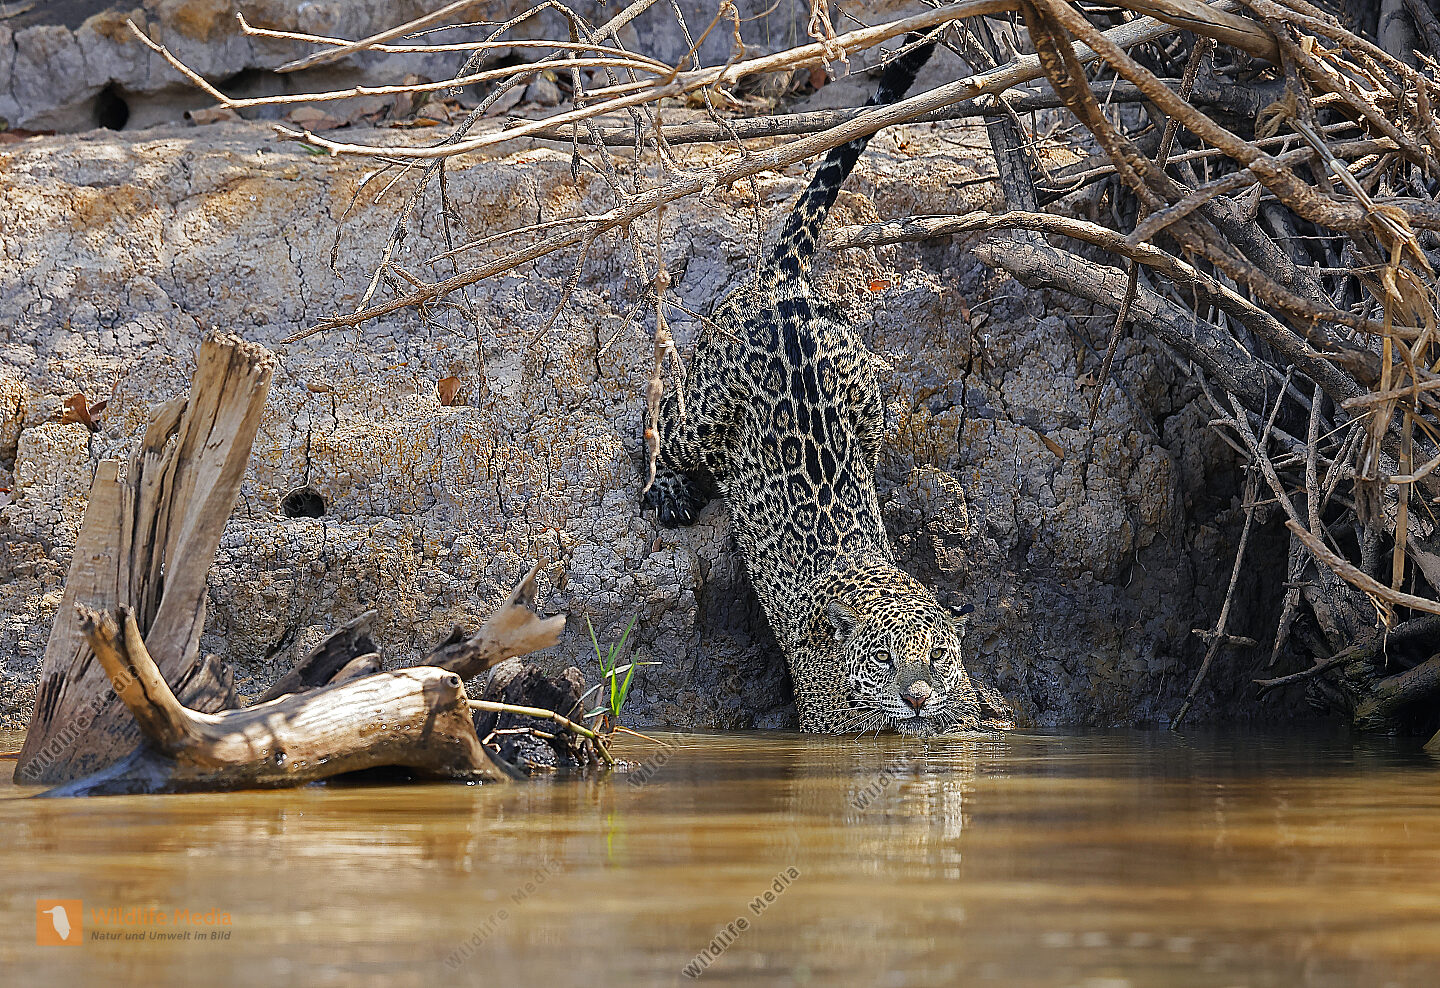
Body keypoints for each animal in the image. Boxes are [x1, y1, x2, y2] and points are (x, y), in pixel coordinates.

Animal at [640, 38, 1011, 737]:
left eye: (935, 655)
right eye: (881, 658)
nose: (916, 695)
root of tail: (783, 286)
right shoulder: (825, 721)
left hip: (869, 395)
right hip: (705, 414)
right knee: (665, 417)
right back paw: (667, 489)